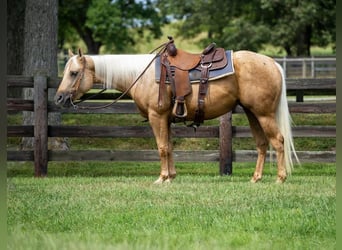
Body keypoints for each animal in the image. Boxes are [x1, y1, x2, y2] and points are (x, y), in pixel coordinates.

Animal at [54, 46, 298, 184]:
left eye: (73, 73)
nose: (58, 98)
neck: (140, 75)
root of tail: (273, 63)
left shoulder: (157, 116)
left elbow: (162, 147)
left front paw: (162, 178)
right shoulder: (167, 120)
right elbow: (170, 147)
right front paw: (171, 176)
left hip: (264, 114)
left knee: (278, 141)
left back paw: (280, 178)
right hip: (252, 113)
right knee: (262, 144)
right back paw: (256, 178)